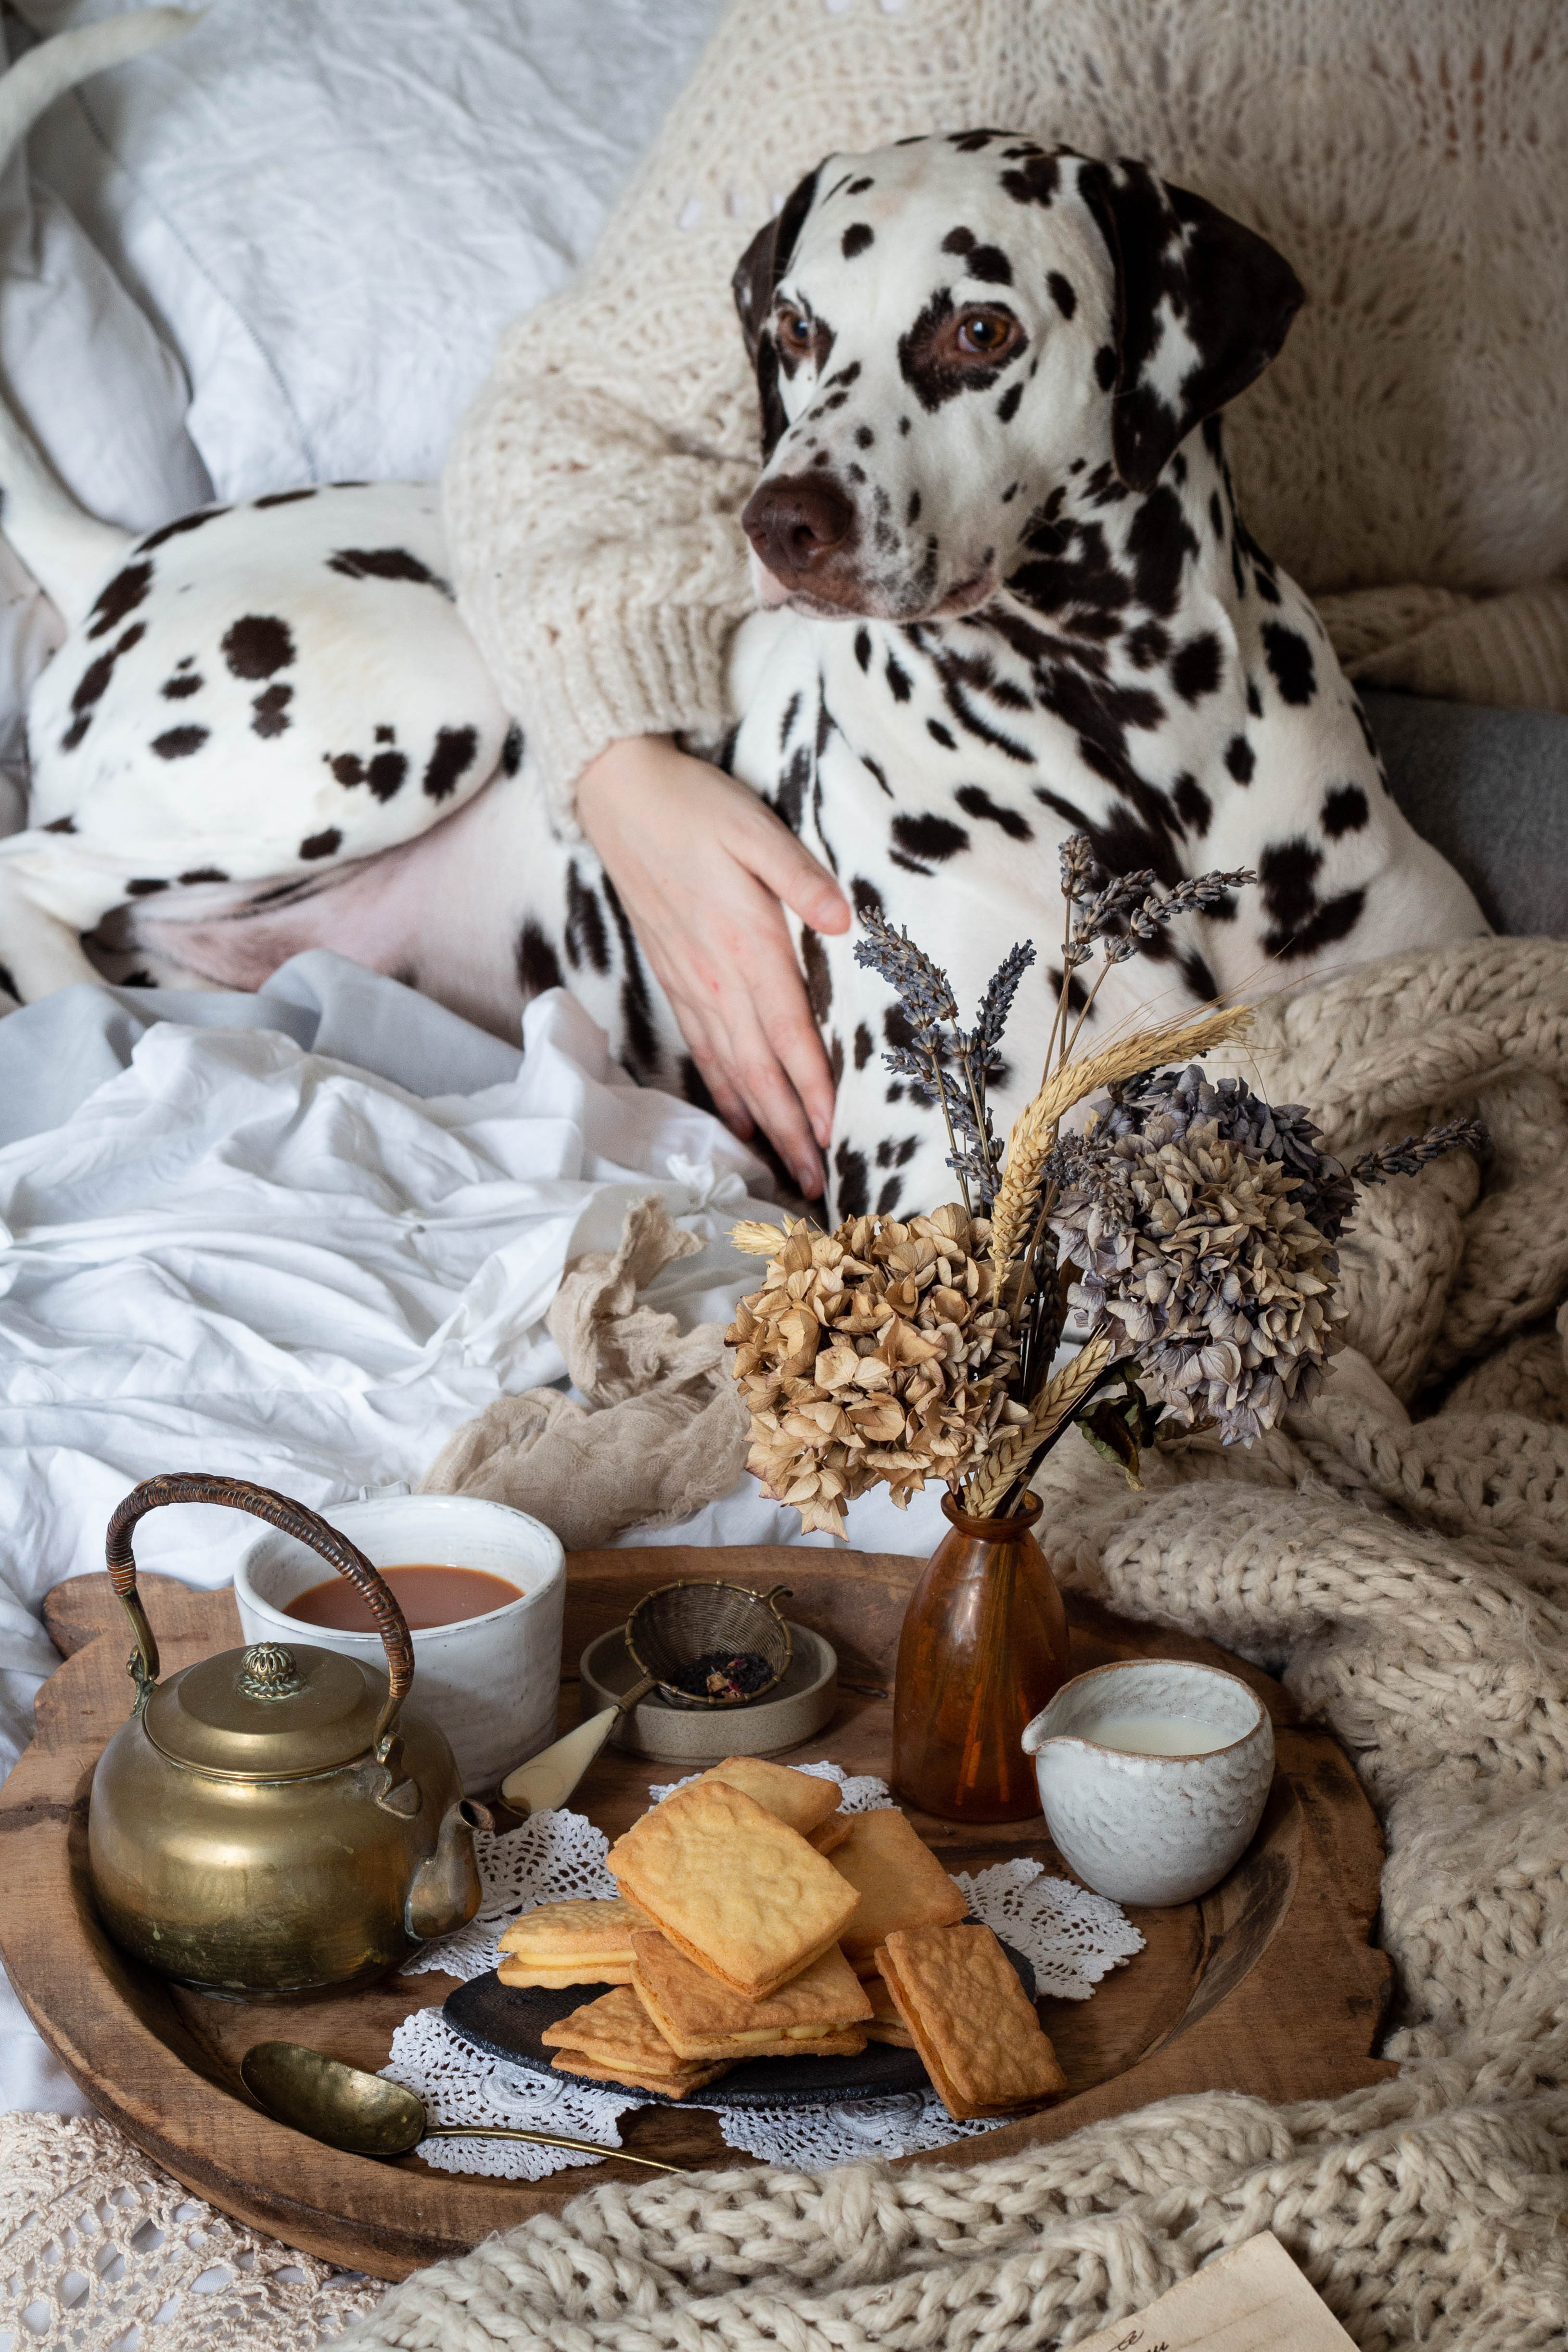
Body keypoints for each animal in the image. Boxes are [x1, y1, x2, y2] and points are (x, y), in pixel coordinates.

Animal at [6, 37, 1495, 1223]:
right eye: (794, 326)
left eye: (978, 329)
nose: (781, 522)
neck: (1134, 728)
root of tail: (128, 551)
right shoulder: (922, 1172)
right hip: (407, 717)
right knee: (37, 873)